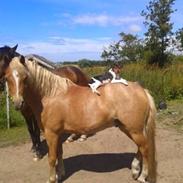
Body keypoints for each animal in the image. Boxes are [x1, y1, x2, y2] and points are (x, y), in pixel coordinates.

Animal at [4, 56, 157, 183]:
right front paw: (60, 174)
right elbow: (59, 154)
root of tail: (141, 89)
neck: (50, 95)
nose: (18, 103)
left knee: (145, 148)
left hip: (134, 130)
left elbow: (52, 158)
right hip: (128, 128)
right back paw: (135, 170)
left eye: (25, 77)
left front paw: (52, 179)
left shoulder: (51, 134)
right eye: (7, 78)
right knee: (141, 147)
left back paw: (142, 176)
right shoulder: (58, 133)